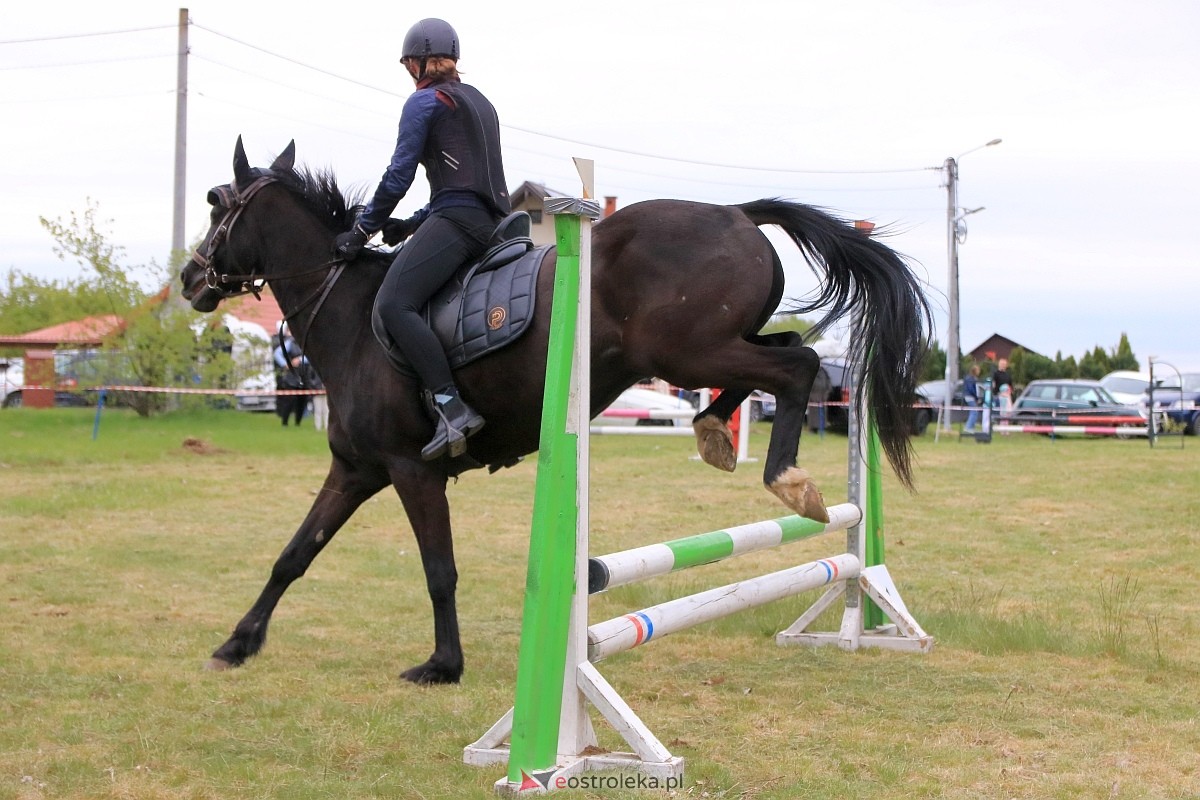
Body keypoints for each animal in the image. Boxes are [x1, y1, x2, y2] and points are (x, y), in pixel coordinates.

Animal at [177, 136, 931, 681]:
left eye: (217, 204)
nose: (190, 278)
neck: (355, 317)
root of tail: (736, 213)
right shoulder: (356, 471)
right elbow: (293, 555)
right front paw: (237, 644)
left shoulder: (412, 471)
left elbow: (439, 570)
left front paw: (442, 665)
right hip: (706, 350)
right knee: (789, 353)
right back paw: (716, 431)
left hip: (689, 352)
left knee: (799, 366)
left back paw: (785, 477)